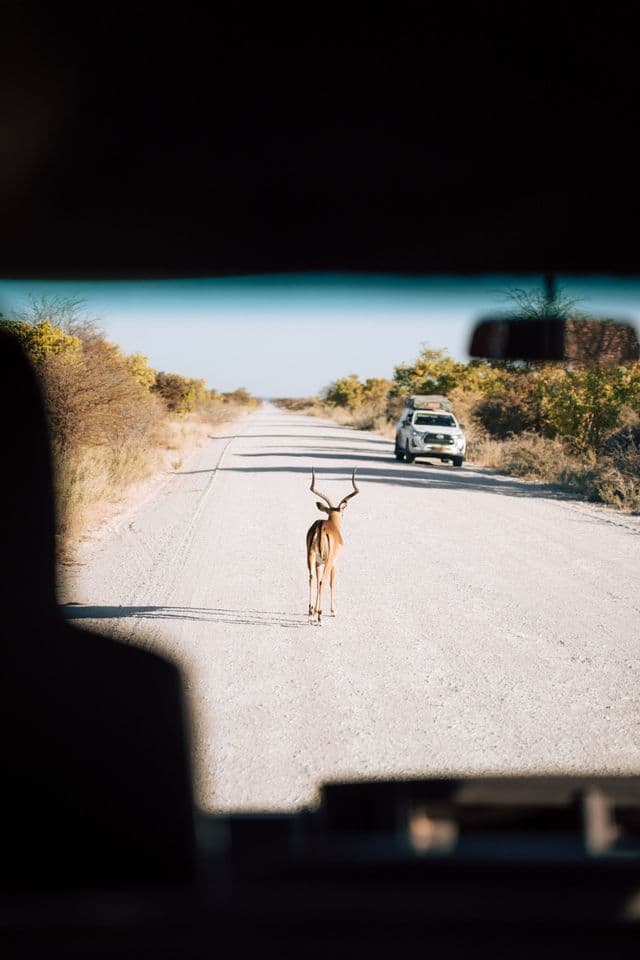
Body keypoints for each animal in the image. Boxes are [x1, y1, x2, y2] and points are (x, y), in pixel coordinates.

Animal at [306, 467, 359, 625]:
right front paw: (333, 611)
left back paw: (310, 614)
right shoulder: (335, 562)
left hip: (310, 558)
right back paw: (320, 616)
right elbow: (331, 582)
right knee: (323, 581)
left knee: (312, 578)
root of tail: (321, 526)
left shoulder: (318, 562)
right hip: (329, 561)